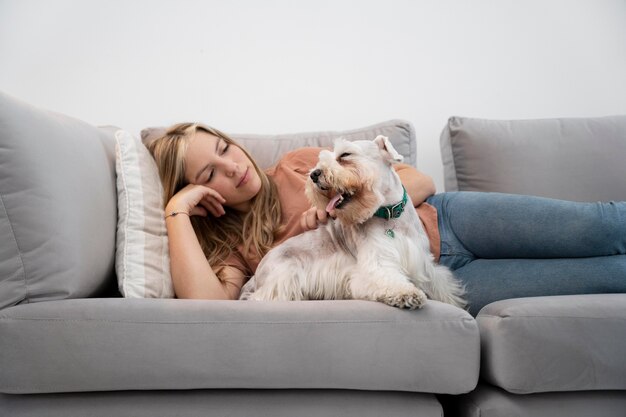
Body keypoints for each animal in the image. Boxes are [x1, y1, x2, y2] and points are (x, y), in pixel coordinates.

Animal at [239, 135, 464, 308]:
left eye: (345, 155)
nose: (314, 174)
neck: (390, 216)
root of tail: (256, 276)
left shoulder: (424, 264)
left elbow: (439, 284)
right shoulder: (376, 264)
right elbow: (387, 279)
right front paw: (407, 293)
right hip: (284, 276)